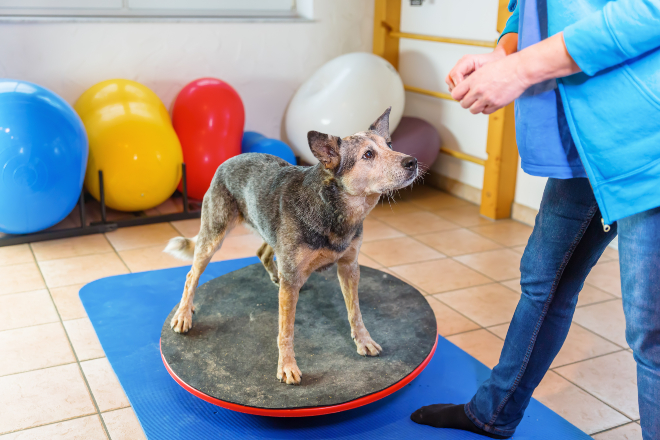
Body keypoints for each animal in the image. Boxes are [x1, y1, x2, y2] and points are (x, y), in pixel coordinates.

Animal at [164, 107, 418, 384]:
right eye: (368, 154)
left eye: (390, 145)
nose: (412, 161)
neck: (333, 208)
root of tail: (228, 160)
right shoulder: (295, 279)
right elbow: (286, 330)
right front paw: (287, 365)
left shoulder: (349, 267)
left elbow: (356, 312)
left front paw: (363, 340)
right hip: (213, 236)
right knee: (192, 275)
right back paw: (183, 314)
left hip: (270, 234)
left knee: (263, 253)